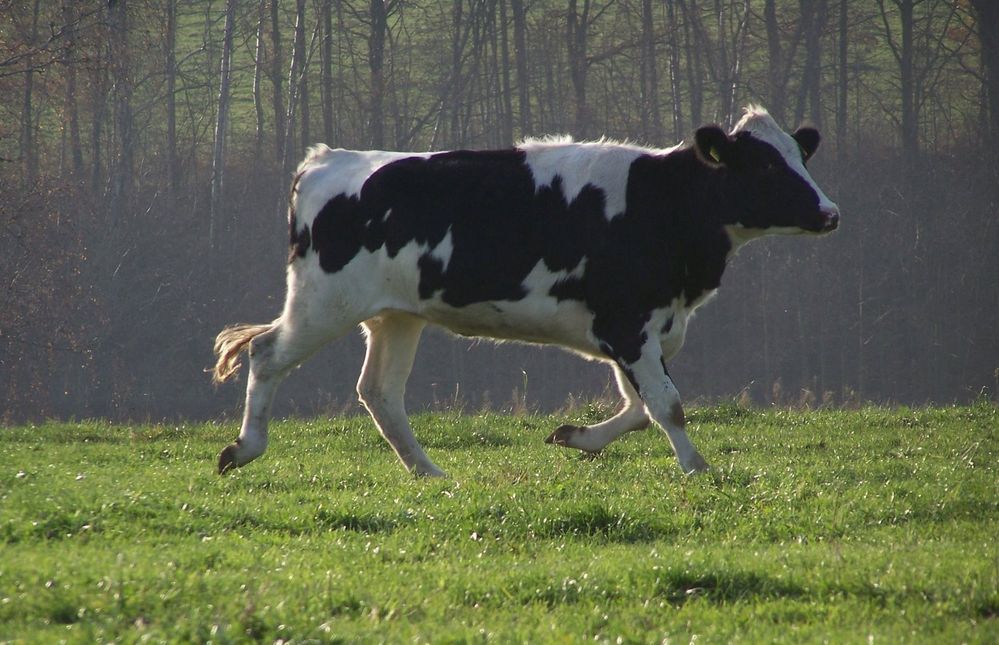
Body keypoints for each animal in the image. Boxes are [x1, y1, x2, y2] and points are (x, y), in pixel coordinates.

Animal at [215, 105, 840, 476]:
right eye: (765, 166)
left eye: (799, 156)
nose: (830, 212)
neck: (662, 202)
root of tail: (328, 159)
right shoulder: (627, 324)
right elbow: (667, 405)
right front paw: (697, 470)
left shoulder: (642, 329)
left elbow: (640, 406)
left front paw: (577, 437)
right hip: (323, 302)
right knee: (266, 353)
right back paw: (243, 449)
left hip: (396, 315)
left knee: (380, 392)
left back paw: (428, 472)